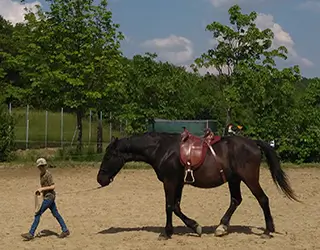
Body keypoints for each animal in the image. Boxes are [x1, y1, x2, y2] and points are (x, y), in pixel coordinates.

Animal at [96, 132, 298, 239]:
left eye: (109, 155)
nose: (100, 179)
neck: (162, 149)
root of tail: (253, 143)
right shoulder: (178, 183)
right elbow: (176, 207)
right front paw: (195, 226)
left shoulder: (170, 182)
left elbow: (169, 206)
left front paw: (166, 233)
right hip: (234, 180)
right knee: (236, 200)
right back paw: (222, 227)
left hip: (249, 179)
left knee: (263, 199)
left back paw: (268, 231)